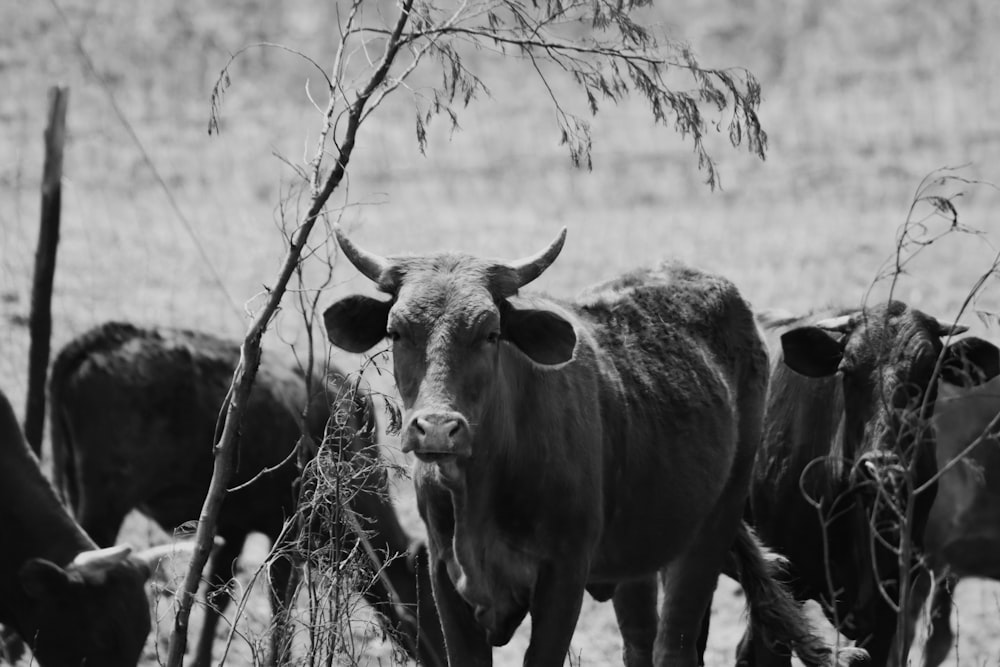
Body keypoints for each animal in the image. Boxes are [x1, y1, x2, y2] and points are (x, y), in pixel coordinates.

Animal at [47, 320, 446, 664]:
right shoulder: (287, 533)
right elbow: (280, 603)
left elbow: (217, 595)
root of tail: (102, 337)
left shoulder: (231, 527)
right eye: (431, 604)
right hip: (105, 505)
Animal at [322, 228, 844, 667]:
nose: (436, 429)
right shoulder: (444, 578)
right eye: (396, 332)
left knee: (673, 645)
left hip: (711, 529)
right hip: (639, 552)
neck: (481, 492)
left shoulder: (564, 576)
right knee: (640, 643)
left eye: (490, 333)